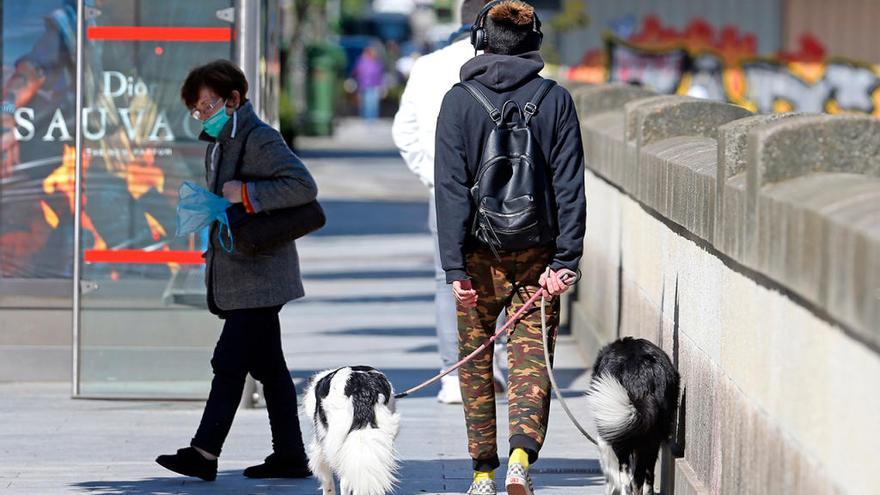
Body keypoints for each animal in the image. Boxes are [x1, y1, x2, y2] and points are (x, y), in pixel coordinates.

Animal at [588, 338, 684, 495]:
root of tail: (642, 374)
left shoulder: (607, 433)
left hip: (623, 441)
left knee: (628, 478)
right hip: (653, 436)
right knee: (645, 477)